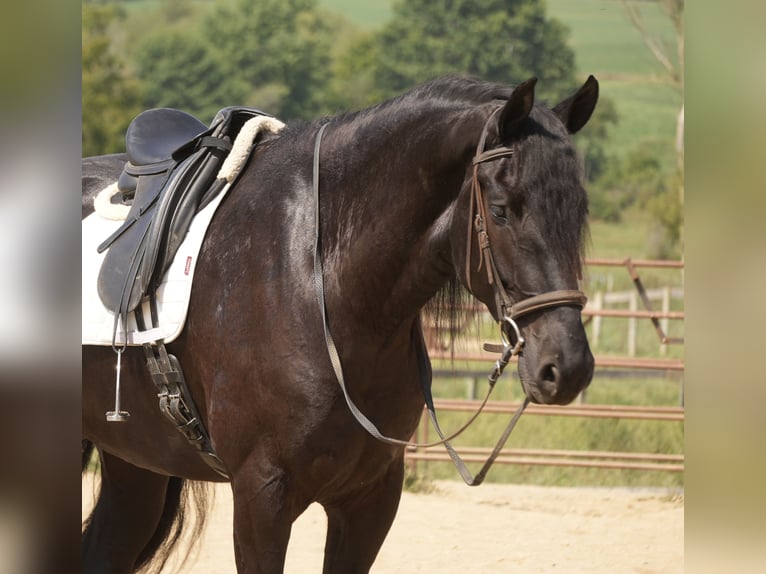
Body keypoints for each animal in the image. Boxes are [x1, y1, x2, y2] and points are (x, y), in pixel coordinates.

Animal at [82, 74, 598, 573]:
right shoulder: (261, 495)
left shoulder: (370, 499)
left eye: (578, 210)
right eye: (502, 210)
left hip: (137, 462)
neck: (318, 285)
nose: (567, 366)